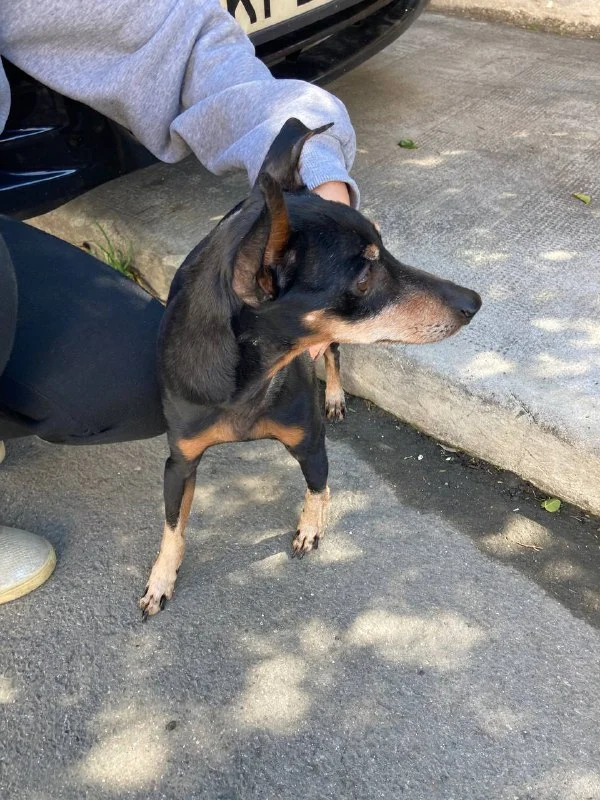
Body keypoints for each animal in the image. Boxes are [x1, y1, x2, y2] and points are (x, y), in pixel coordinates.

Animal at [140, 118, 481, 618]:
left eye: (387, 250)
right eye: (365, 277)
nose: (474, 303)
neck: (250, 381)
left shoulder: (310, 443)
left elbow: (317, 490)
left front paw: (311, 526)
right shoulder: (180, 462)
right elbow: (172, 526)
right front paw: (161, 579)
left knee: (335, 353)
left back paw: (335, 394)